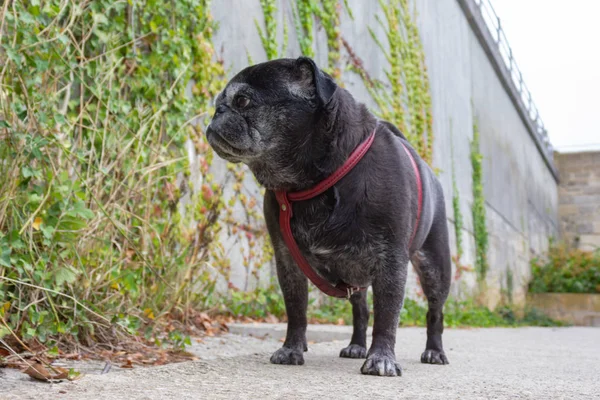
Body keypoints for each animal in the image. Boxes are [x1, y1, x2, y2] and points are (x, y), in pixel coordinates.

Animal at [206, 57, 450, 378]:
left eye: (243, 100)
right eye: (219, 103)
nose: (216, 113)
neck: (316, 182)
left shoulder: (392, 262)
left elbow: (387, 315)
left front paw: (381, 357)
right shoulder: (288, 262)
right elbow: (296, 310)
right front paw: (292, 348)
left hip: (435, 269)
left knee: (434, 312)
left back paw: (434, 351)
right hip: (354, 275)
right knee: (361, 310)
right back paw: (357, 345)